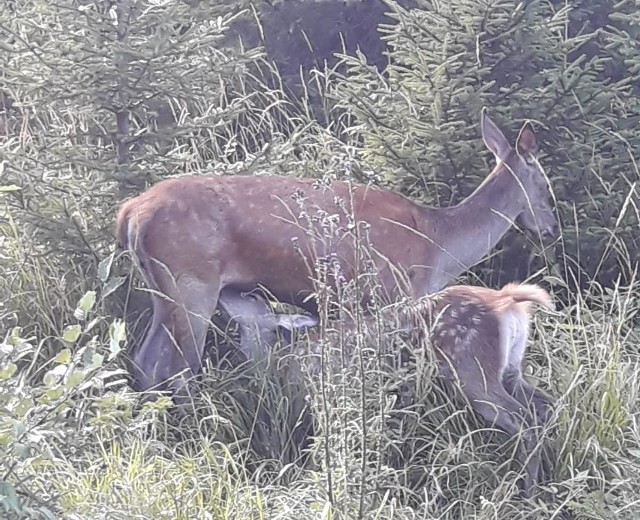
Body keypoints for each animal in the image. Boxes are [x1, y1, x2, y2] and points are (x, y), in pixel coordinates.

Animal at [117, 111, 556, 392]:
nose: (551, 226)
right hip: (191, 283)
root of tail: (131, 212)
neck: (440, 245)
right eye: (544, 184)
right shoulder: (390, 294)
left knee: (145, 360)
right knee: (180, 369)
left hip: (164, 293)